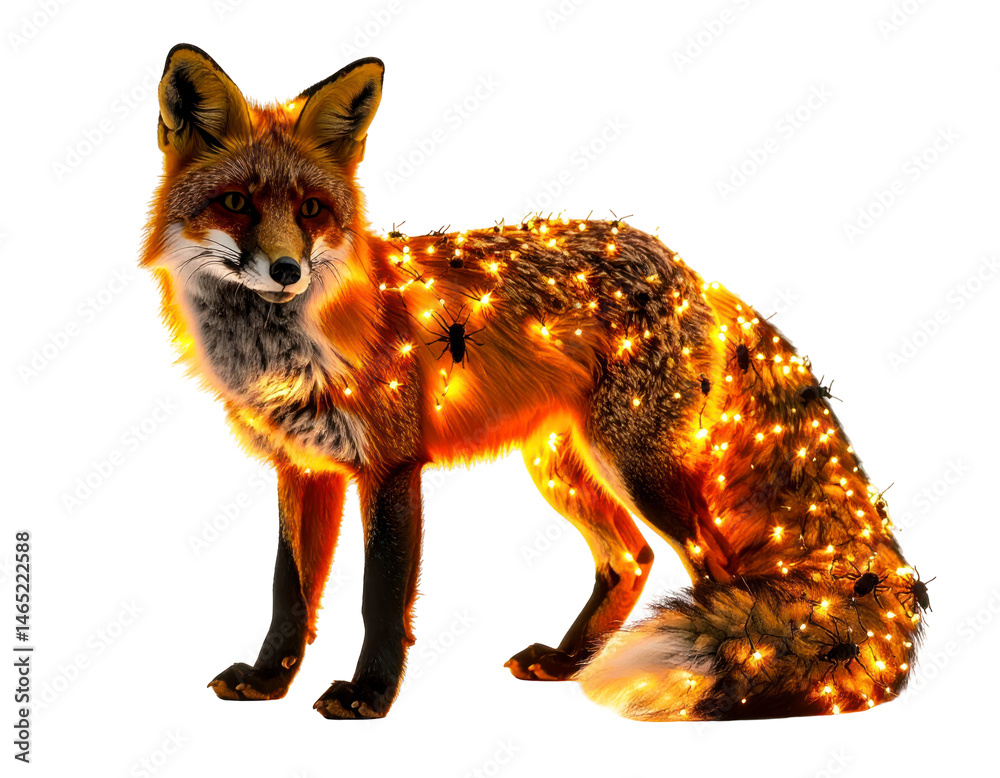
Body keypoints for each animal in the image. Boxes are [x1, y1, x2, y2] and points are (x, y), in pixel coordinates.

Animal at [141, 43, 927, 720]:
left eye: (311, 210)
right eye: (236, 203)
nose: (286, 271)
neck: (287, 346)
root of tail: (686, 268)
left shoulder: (390, 464)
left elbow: (379, 599)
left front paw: (369, 696)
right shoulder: (304, 467)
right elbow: (290, 594)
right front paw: (268, 681)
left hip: (637, 467)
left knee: (715, 568)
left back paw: (725, 680)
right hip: (560, 467)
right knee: (631, 559)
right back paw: (571, 662)